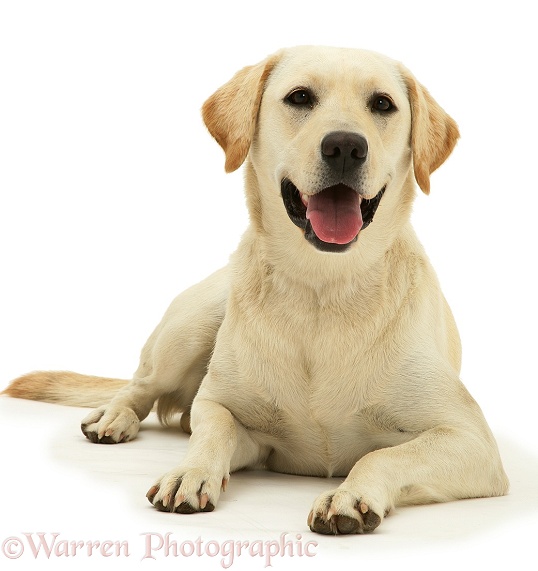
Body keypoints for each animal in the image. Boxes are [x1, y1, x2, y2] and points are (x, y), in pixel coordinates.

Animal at [3, 45, 506, 536]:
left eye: (382, 104)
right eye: (300, 97)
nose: (345, 145)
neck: (322, 288)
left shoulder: (472, 441)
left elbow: (382, 454)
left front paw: (347, 495)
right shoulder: (231, 416)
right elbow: (213, 431)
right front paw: (189, 473)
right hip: (191, 325)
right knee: (140, 385)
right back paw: (114, 415)